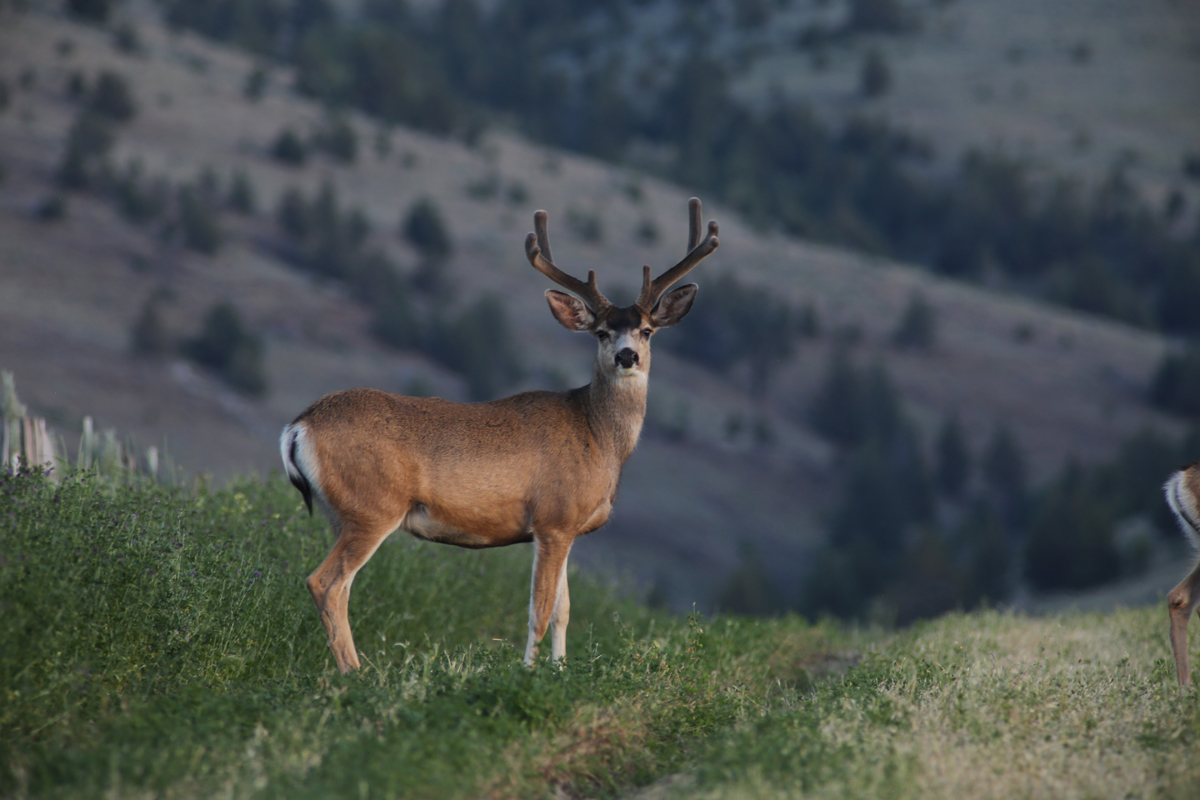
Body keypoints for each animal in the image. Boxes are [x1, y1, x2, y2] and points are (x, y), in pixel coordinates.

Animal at [276, 196, 715, 671]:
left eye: (647, 330)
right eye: (601, 332)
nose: (628, 355)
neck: (598, 435)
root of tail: (299, 425)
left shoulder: (567, 529)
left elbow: (563, 610)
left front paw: (559, 672)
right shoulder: (553, 519)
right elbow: (539, 609)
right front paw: (526, 673)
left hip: (342, 513)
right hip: (374, 506)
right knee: (327, 583)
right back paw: (356, 674)